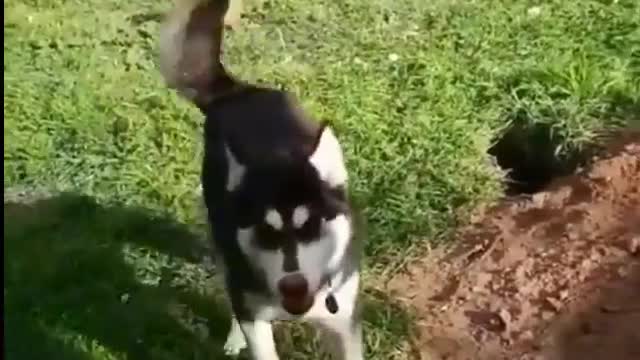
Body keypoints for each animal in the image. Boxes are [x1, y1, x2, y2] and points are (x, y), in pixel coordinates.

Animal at [158, 1, 362, 358]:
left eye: (311, 226)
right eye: (266, 232)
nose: (292, 285)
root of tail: (237, 92)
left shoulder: (345, 320)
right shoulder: (254, 315)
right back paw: (233, 336)